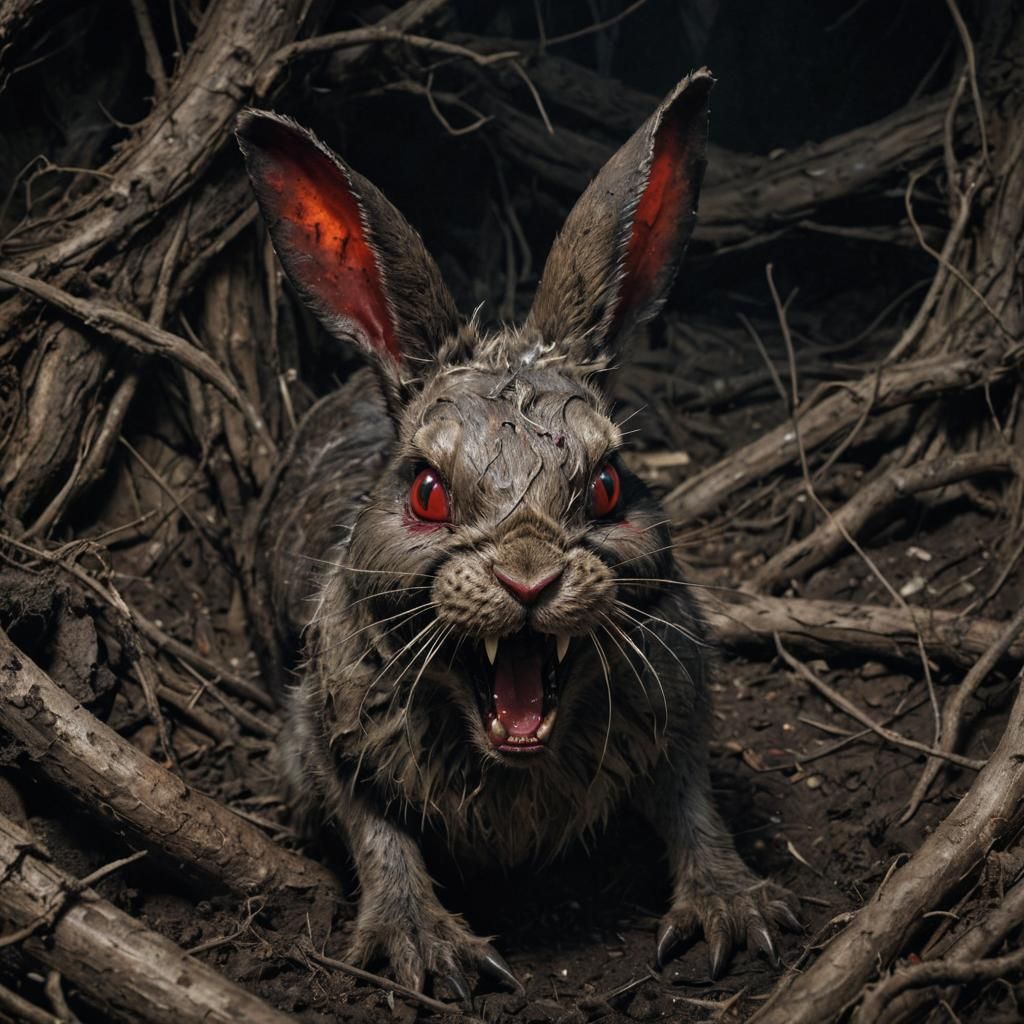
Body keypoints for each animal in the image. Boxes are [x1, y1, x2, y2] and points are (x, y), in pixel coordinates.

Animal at [237, 66, 798, 998]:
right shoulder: (321, 738)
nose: (529, 579)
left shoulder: (679, 707)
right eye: (427, 493)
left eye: (608, 486)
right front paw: (424, 943)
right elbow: (373, 829)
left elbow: (692, 802)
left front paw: (732, 907)